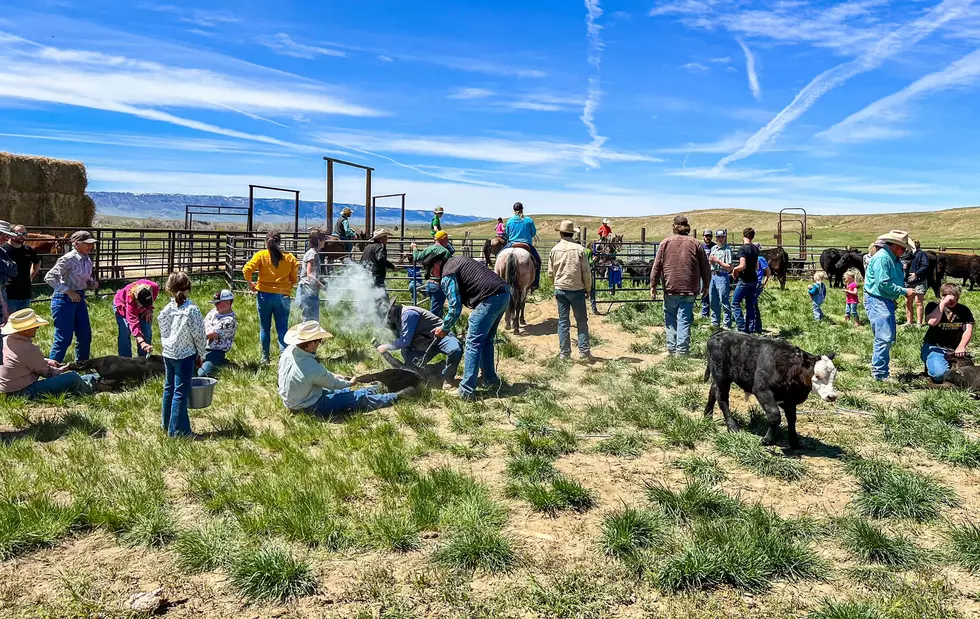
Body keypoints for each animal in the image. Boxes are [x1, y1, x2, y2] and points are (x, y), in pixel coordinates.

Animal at [704, 334, 836, 450]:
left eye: (834, 376)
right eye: (817, 375)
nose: (832, 396)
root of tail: (719, 334)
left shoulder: (790, 399)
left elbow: (792, 419)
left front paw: (794, 443)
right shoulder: (762, 390)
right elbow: (774, 415)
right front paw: (767, 440)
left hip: (719, 378)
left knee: (713, 391)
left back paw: (707, 416)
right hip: (722, 377)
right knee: (722, 399)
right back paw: (732, 427)